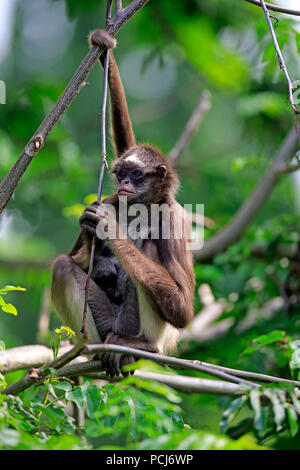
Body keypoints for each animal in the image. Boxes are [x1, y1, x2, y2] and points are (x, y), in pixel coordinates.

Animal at [51, 30, 195, 378]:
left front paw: (108, 228)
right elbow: (74, 260)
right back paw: (91, 348)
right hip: (105, 322)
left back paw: (141, 347)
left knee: (149, 249)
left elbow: (182, 310)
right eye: (121, 173)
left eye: (136, 174)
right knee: (62, 266)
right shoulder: (112, 198)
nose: (125, 183)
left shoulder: (174, 217)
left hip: (134, 324)